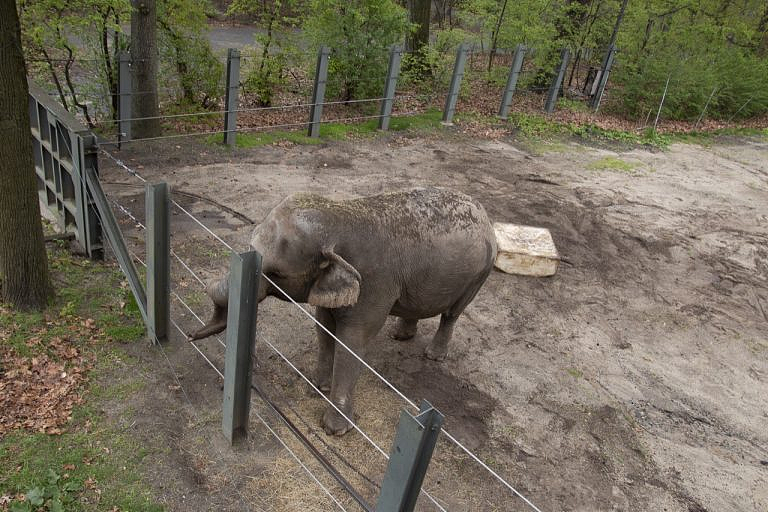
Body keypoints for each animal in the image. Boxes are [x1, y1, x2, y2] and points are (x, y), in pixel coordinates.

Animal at [188, 187, 497, 435]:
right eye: (250, 245)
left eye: (276, 275)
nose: (190, 335)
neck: (339, 216)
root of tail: (483, 212)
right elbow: (324, 326)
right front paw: (318, 387)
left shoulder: (374, 282)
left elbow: (353, 340)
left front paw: (335, 430)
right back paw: (401, 336)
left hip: (479, 274)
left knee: (453, 313)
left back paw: (433, 355)